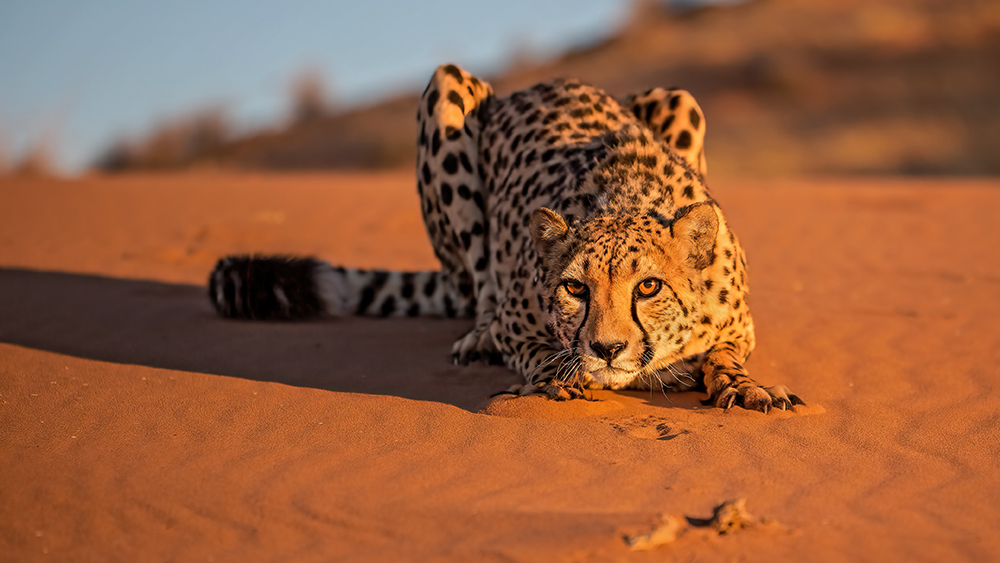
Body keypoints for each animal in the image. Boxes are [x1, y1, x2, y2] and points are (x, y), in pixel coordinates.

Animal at [211, 64, 804, 412]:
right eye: (575, 289)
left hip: (678, 97)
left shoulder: (738, 324)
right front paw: (559, 375)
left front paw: (744, 385)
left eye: (649, 288)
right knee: (478, 286)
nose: (607, 348)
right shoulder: (520, 322)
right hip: (447, 90)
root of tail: (551, 79)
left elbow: (725, 354)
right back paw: (478, 338)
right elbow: (534, 349)